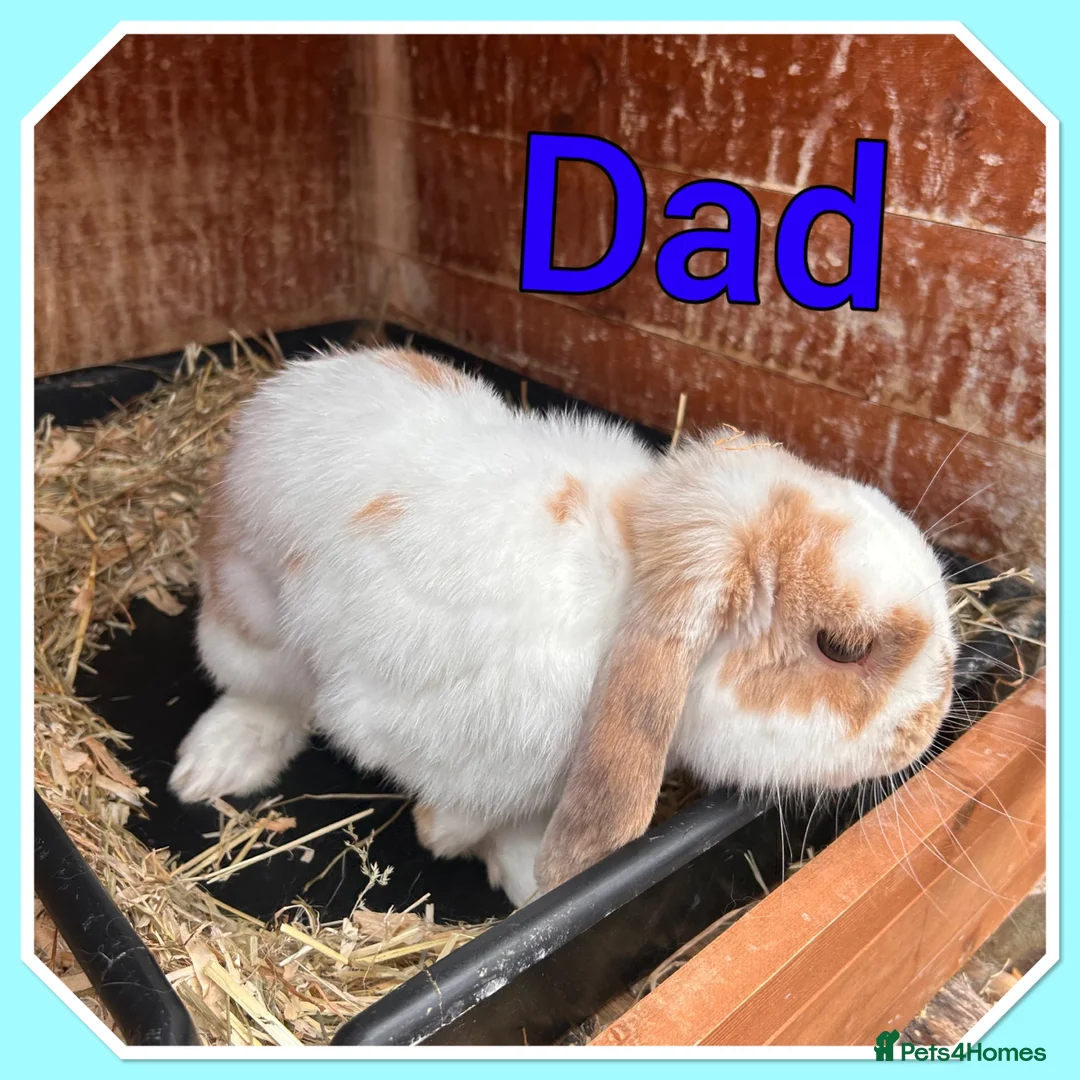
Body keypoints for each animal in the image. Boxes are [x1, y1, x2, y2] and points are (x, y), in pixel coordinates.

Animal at [168, 345, 958, 908]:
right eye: (842, 648)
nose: (933, 718)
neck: (626, 586)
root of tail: (283, 391)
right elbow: (473, 814)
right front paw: (464, 847)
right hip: (249, 624)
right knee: (266, 699)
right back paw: (211, 767)